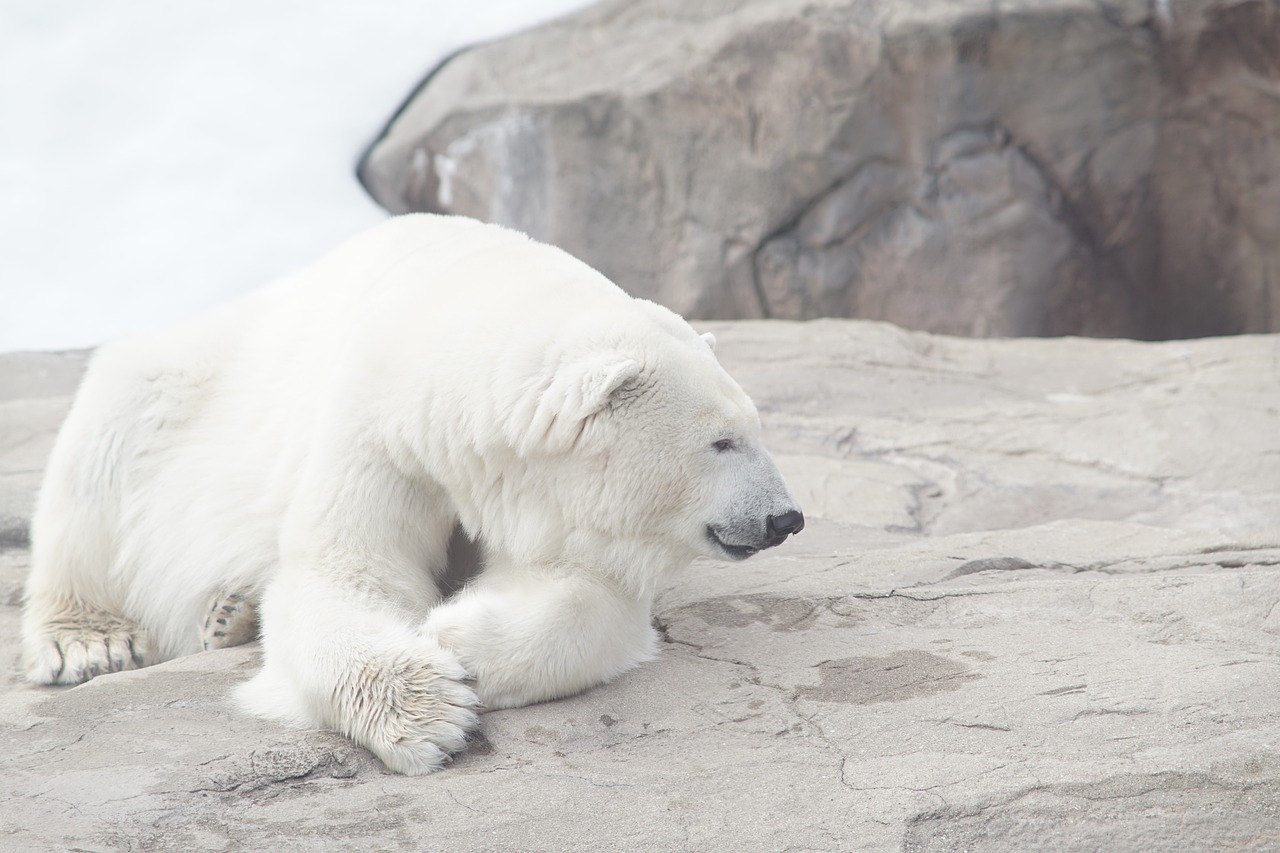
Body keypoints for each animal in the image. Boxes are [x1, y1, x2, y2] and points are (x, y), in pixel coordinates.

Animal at [17, 212, 798, 768]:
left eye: (757, 427)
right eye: (722, 441)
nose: (785, 517)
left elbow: (589, 592)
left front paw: (457, 635)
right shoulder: (381, 431)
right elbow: (345, 573)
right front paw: (427, 708)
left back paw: (229, 613)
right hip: (178, 388)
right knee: (103, 453)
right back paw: (89, 641)